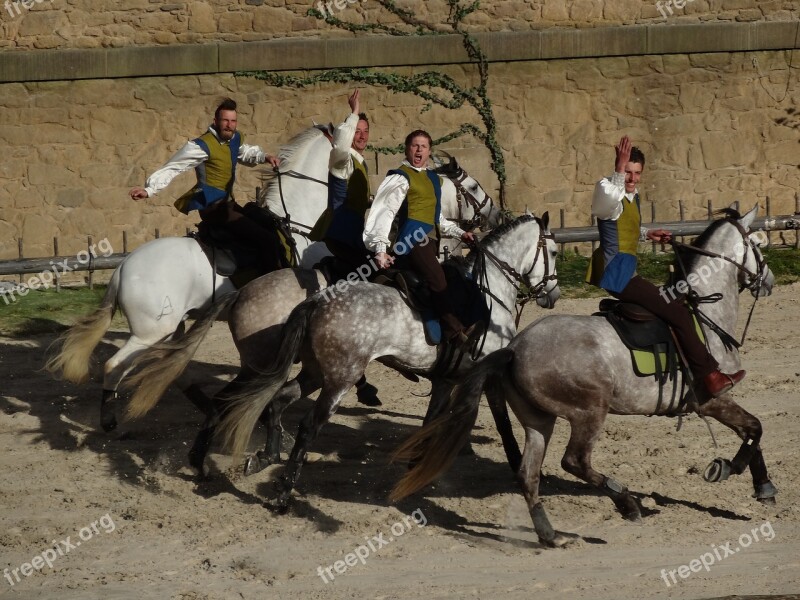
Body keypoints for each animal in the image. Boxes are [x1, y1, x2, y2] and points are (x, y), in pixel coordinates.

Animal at [45, 126, 500, 434]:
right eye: (475, 187)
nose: (494, 214)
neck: (304, 227)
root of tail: (124, 266)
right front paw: (367, 386)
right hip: (149, 331)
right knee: (115, 366)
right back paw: (110, 418)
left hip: (171, 328)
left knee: (172, 369)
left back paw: (207, 407)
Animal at [390, 206, 780, 548]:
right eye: (758, 245)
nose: (770, 281)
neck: (705, 313)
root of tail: (515, 349)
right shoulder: (713, 399)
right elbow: (756, 429)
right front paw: (730, 468)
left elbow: (753, 433)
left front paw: (763, 486)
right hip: (589, 410)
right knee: (574, 461)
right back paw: (626, 503)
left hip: (538, 420)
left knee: (528, 474)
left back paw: (551, 535)